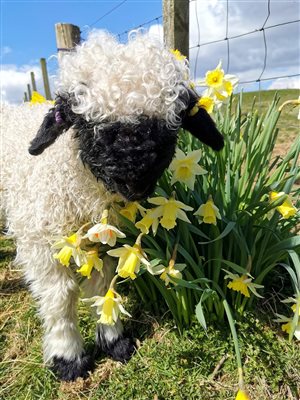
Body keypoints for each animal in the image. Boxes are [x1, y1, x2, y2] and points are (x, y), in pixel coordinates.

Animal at [0, 30, 223, 382]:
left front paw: (113, 338)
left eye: (169, 125)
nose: (135, 183)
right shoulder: (41, 240)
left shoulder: (104, 241)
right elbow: (60, 296)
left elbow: (102, 287)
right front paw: (67, 356)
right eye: (86, 123)